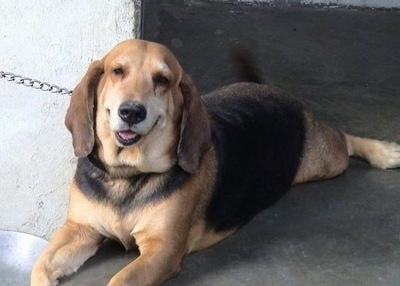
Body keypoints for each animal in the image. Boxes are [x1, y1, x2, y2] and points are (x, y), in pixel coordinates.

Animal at [31, 39, 400, 284]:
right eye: (117, 71)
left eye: (163, 81)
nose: (132, 112)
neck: (127, 176)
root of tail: (273, 90)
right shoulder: (80, 229)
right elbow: (40, 266)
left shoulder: (162, 250)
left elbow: (119, 279)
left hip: (325, 160)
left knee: (343, 137)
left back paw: (384, 152)